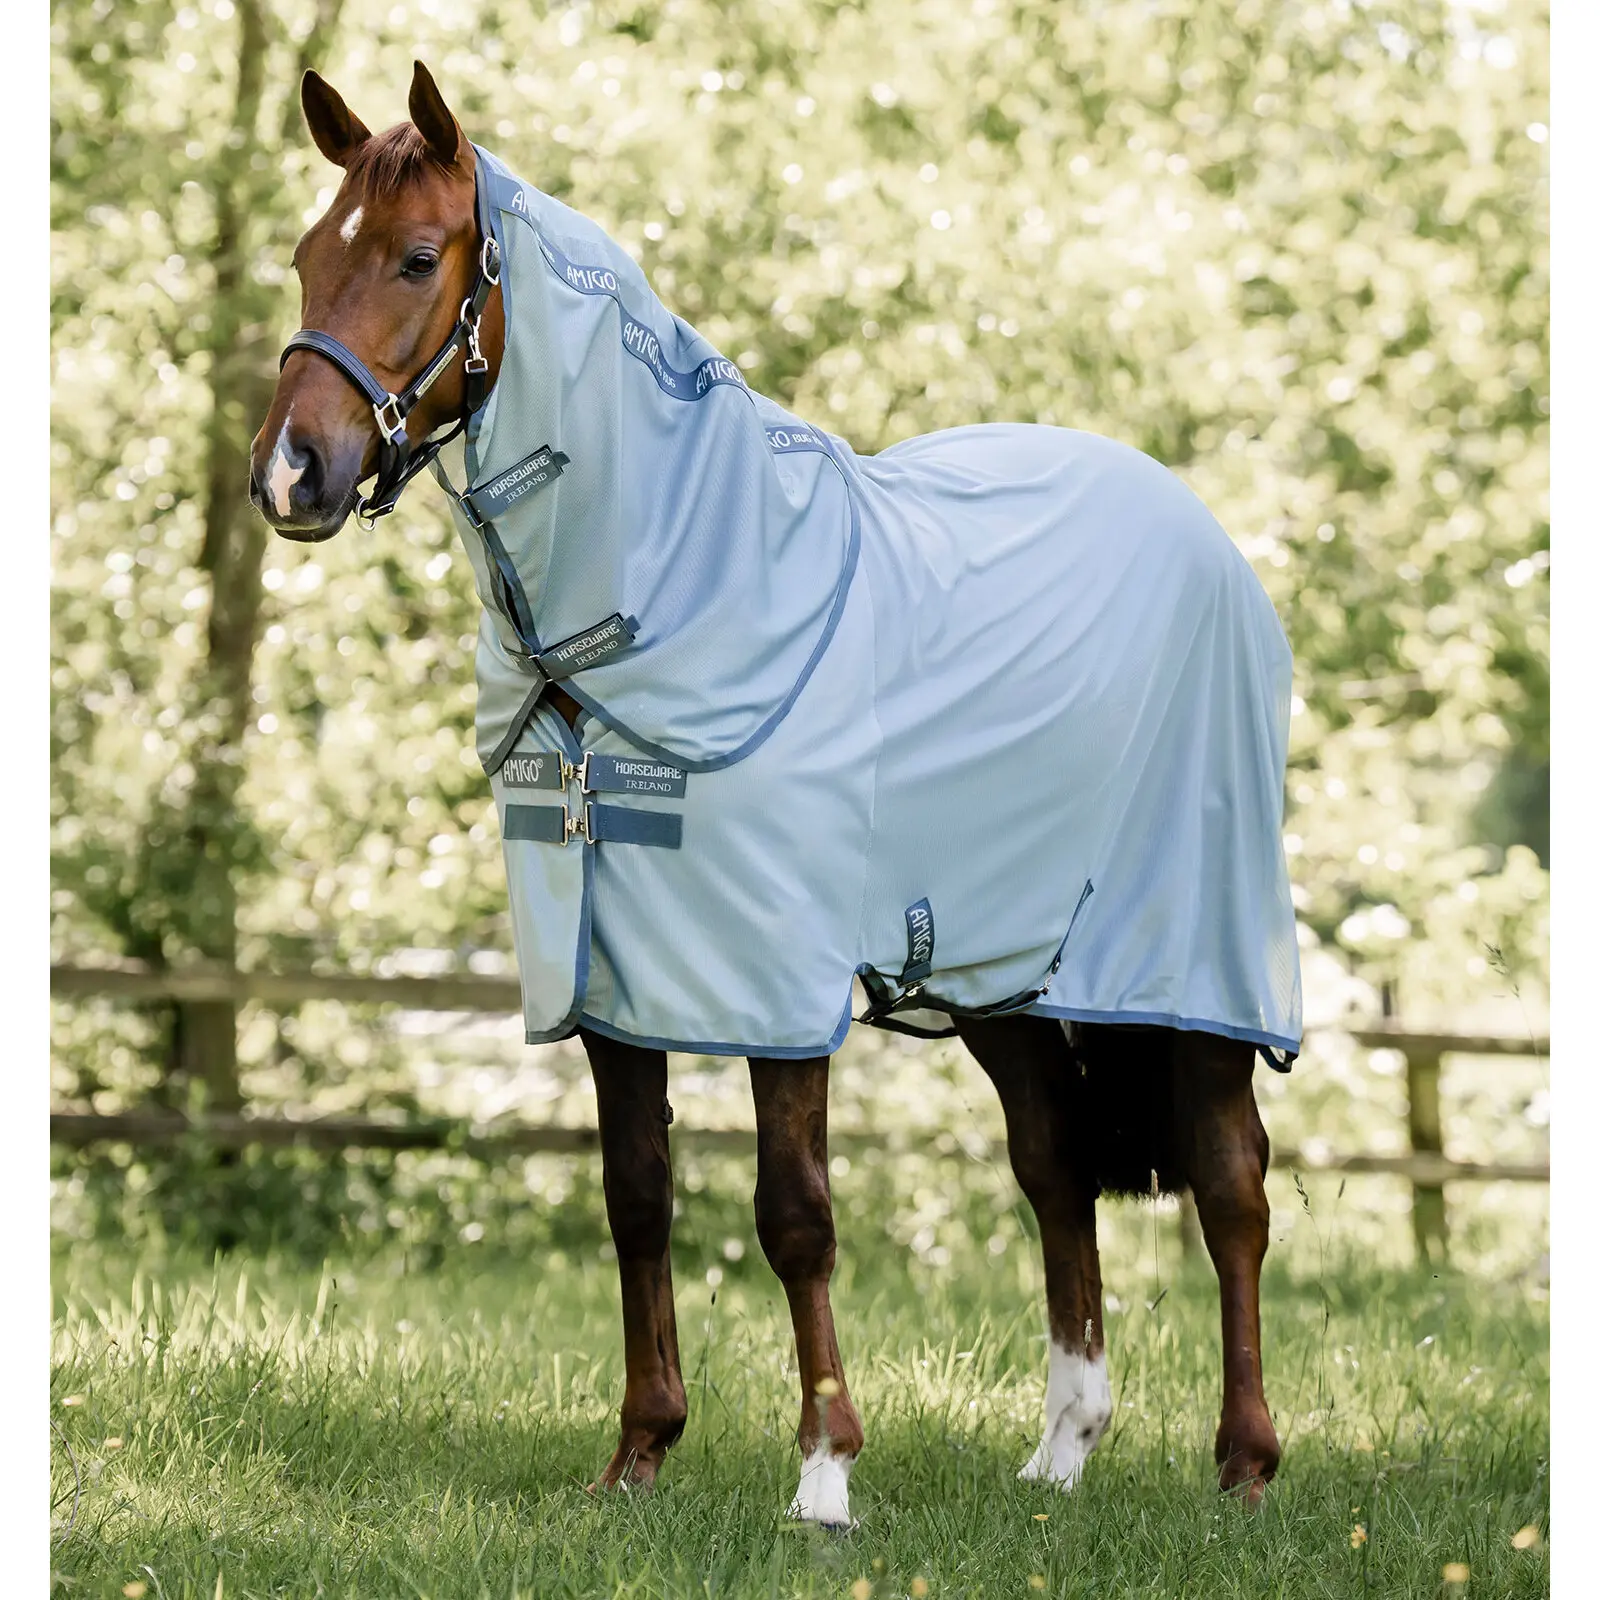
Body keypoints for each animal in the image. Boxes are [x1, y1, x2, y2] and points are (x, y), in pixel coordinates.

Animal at [249, 61, 1296, 1527]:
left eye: (413, 257)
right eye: (305, 255)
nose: (291, 474)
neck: (697, 584)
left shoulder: (774, 981)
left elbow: (794, 1211)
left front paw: (823, 1476)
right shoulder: (608, 975)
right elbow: (636, 1196)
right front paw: (638, 1454)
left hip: (1191, 959)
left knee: (1230, 1181)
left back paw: (1245, 1463)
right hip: (1004, 973)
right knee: (1053, 1167)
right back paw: (1061, 1450)